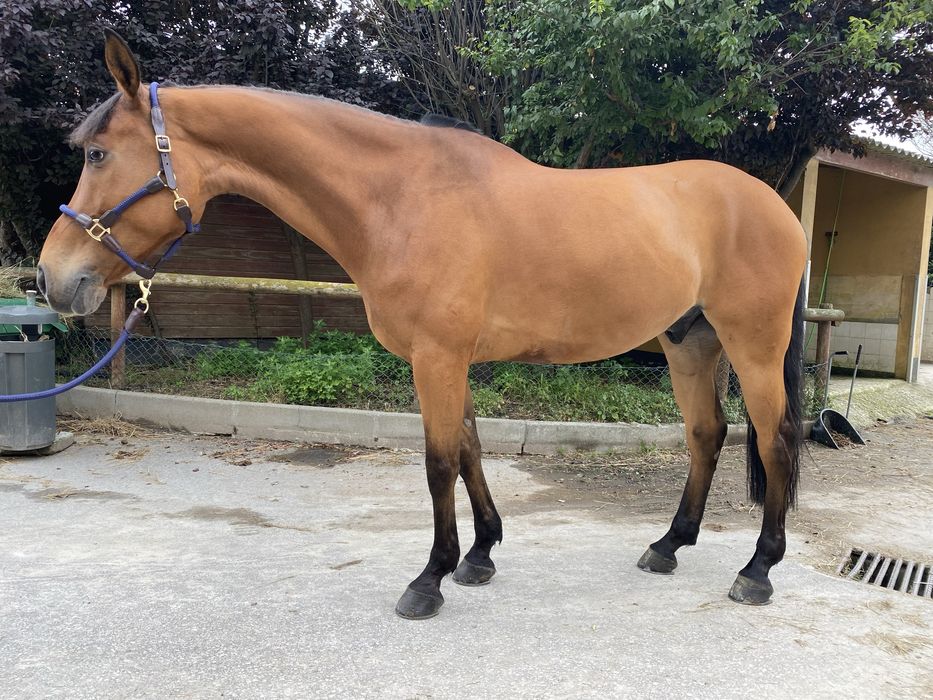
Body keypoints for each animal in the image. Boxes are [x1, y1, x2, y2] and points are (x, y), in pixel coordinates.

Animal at [38, 31, 808, 619]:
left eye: (99, 154)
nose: (52, 278)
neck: (402, 197)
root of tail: (774, 204)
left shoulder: (436, 355)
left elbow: (438, 461)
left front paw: (429, 579)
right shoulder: (447, 357)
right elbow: (467, 448)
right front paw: (480, 555)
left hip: (753, 345)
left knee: (774, 442)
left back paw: (757, 570)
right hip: (690, 342)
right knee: (707, 435)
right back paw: (668, 546)